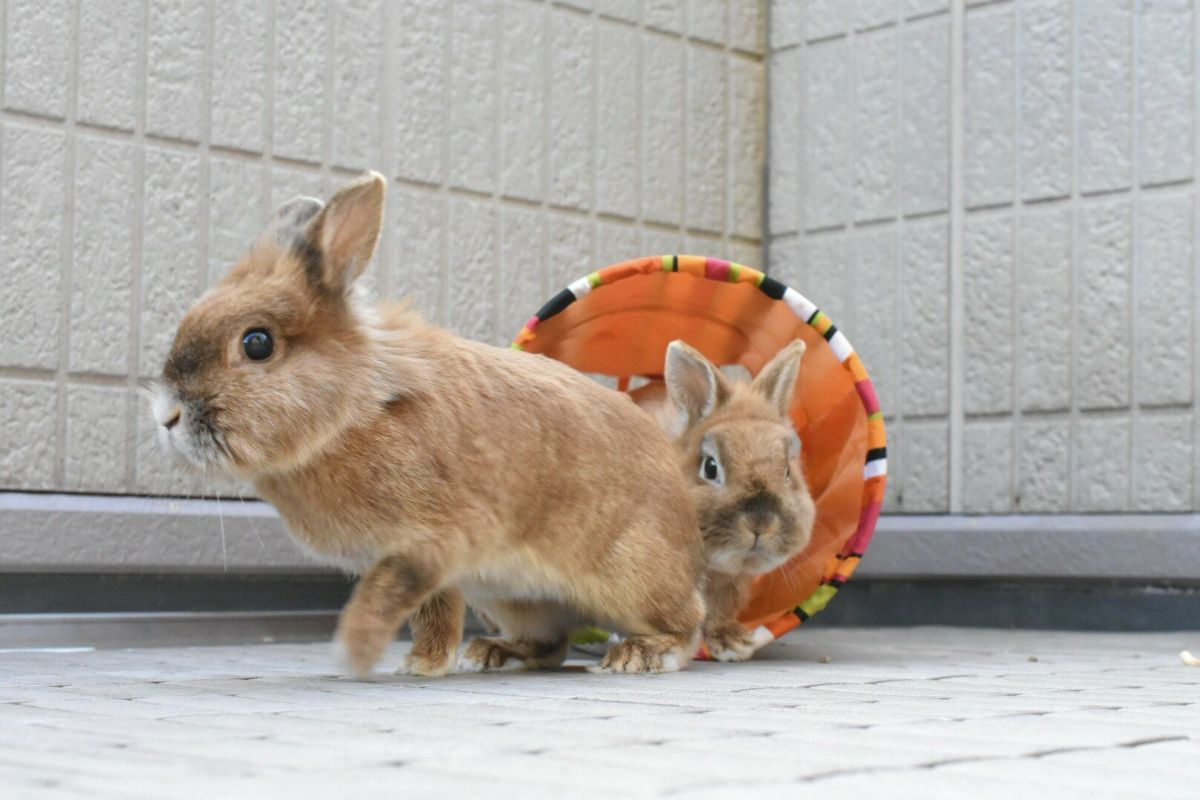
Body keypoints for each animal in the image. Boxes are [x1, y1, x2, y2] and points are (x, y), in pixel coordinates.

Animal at [151, 172, 706, 677]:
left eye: (257, 343)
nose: (165, 415)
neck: (351, 416)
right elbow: (427, 609)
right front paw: (420, 662)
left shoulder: (432, 542)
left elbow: (392, 598)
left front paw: (361, 653)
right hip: (510, 597)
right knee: (552, 644)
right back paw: (492, 653)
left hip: (629, 577)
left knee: (688, 622)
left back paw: (637, 654)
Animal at [641, 340, 817, 662]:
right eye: (710, 467)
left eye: (787, 471)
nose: (760, 523)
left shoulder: (732, 582)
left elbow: (722, 609)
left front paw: (733, 643)